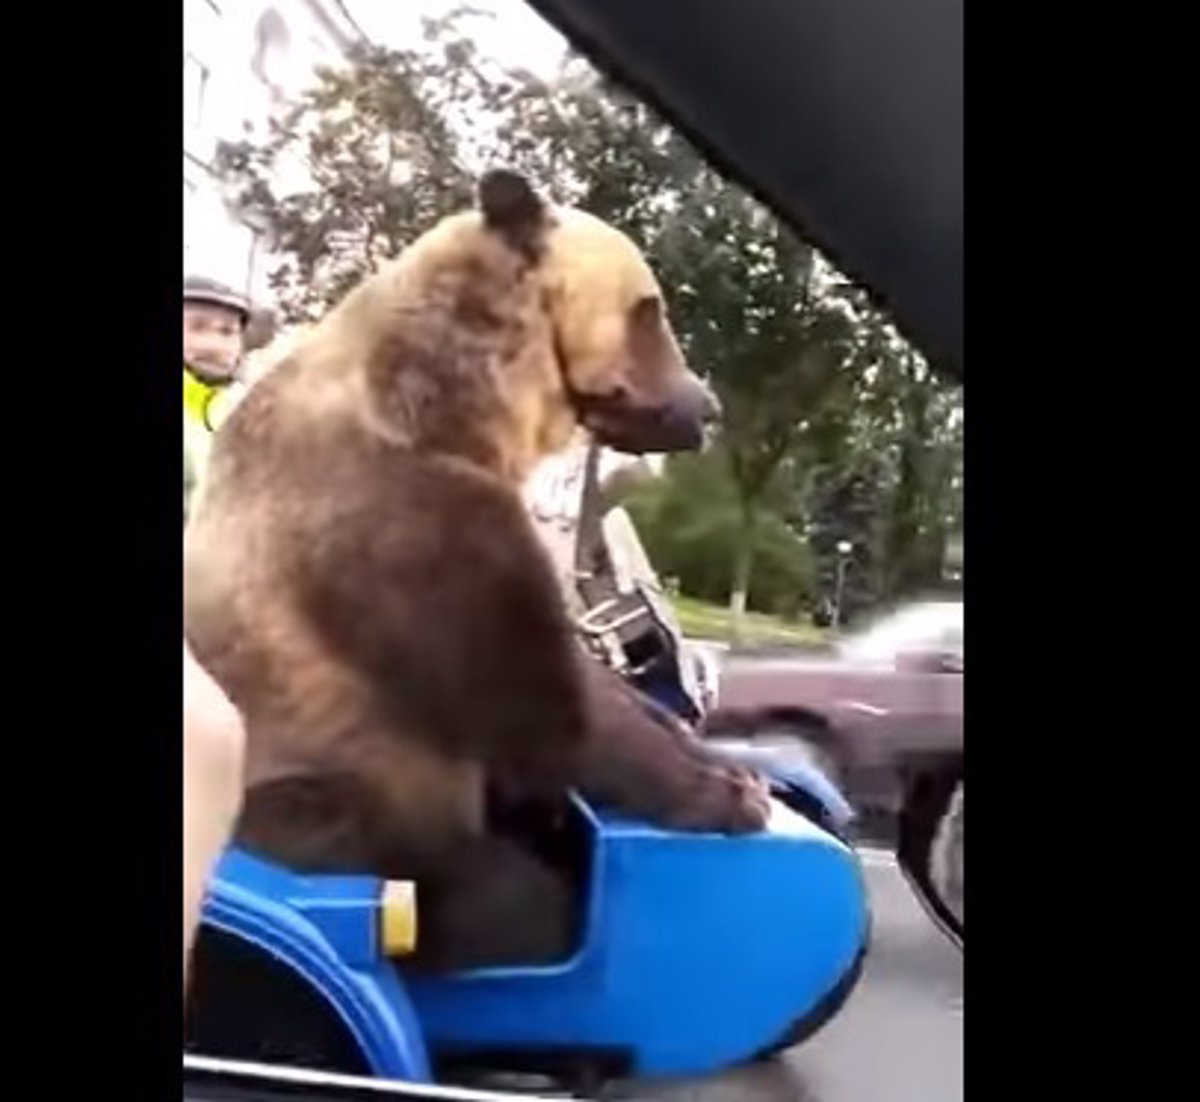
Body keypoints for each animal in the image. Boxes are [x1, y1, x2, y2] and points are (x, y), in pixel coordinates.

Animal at [187, 168, 768, 969]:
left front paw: (727, 759)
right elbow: (540, 698)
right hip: (312, 793)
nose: (704, 407)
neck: (463, 405)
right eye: (650, 309)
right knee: (484, 885)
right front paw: (730, 793)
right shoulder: (403, 527)